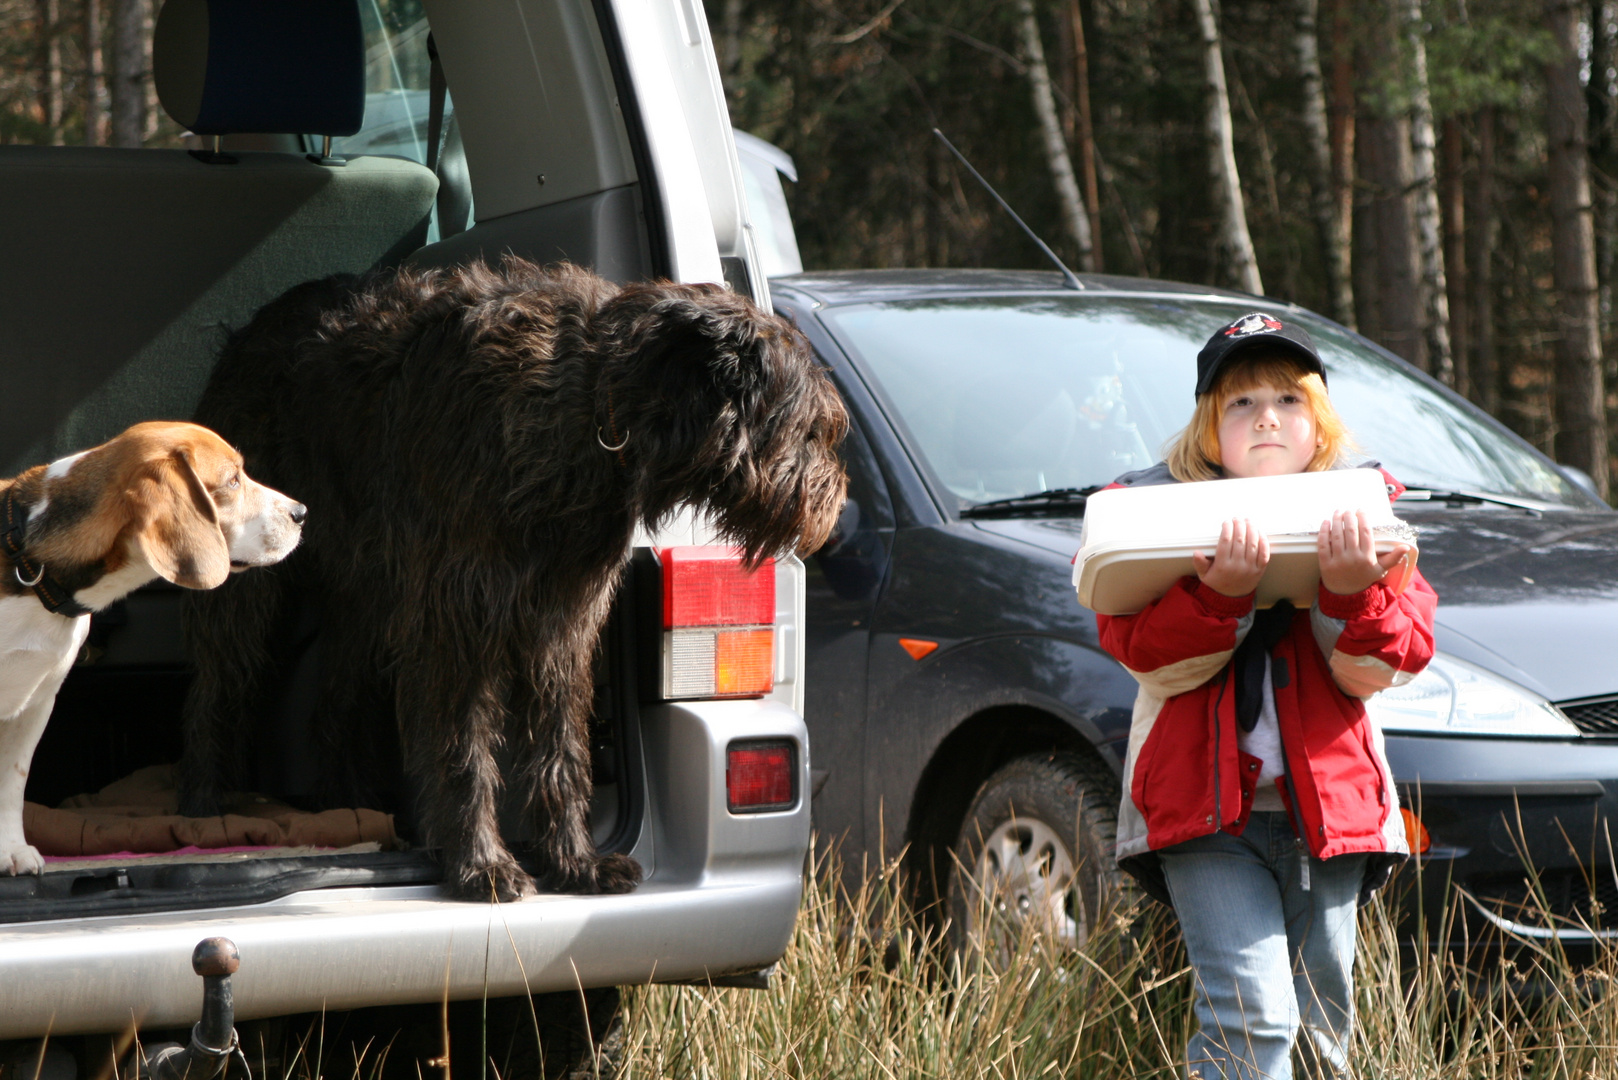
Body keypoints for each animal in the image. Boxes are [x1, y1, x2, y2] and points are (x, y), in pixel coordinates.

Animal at [180, 262, 847, 906]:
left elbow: (560, 748)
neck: (592, 404)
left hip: (367, 596)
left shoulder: (559, 626)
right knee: (218, 682)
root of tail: (252, 327)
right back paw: (206, 806)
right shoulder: (457, 623)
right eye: (812, 429)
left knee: (335, 700)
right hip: (251, 584)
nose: (837, 502)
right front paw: (482, 866)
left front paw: (574, 862)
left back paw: (346, 802)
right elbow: (464, 750)